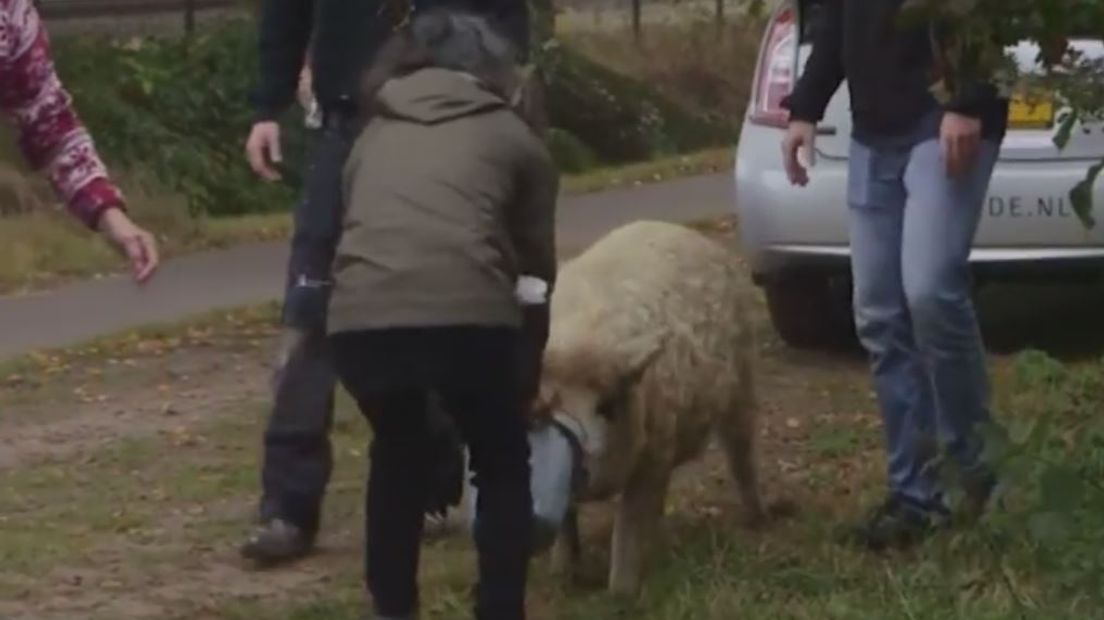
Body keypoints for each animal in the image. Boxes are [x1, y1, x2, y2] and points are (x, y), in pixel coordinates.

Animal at [532, 219, 759, 591]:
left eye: (607, 406)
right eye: (544, 406)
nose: (580, 466)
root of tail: (679, 229)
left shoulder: (654, 452)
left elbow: (628, 522)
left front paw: (620, 592)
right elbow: (565, 520)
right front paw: (561, 575)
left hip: (742, 378)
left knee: (742, 453)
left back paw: (758, 520)